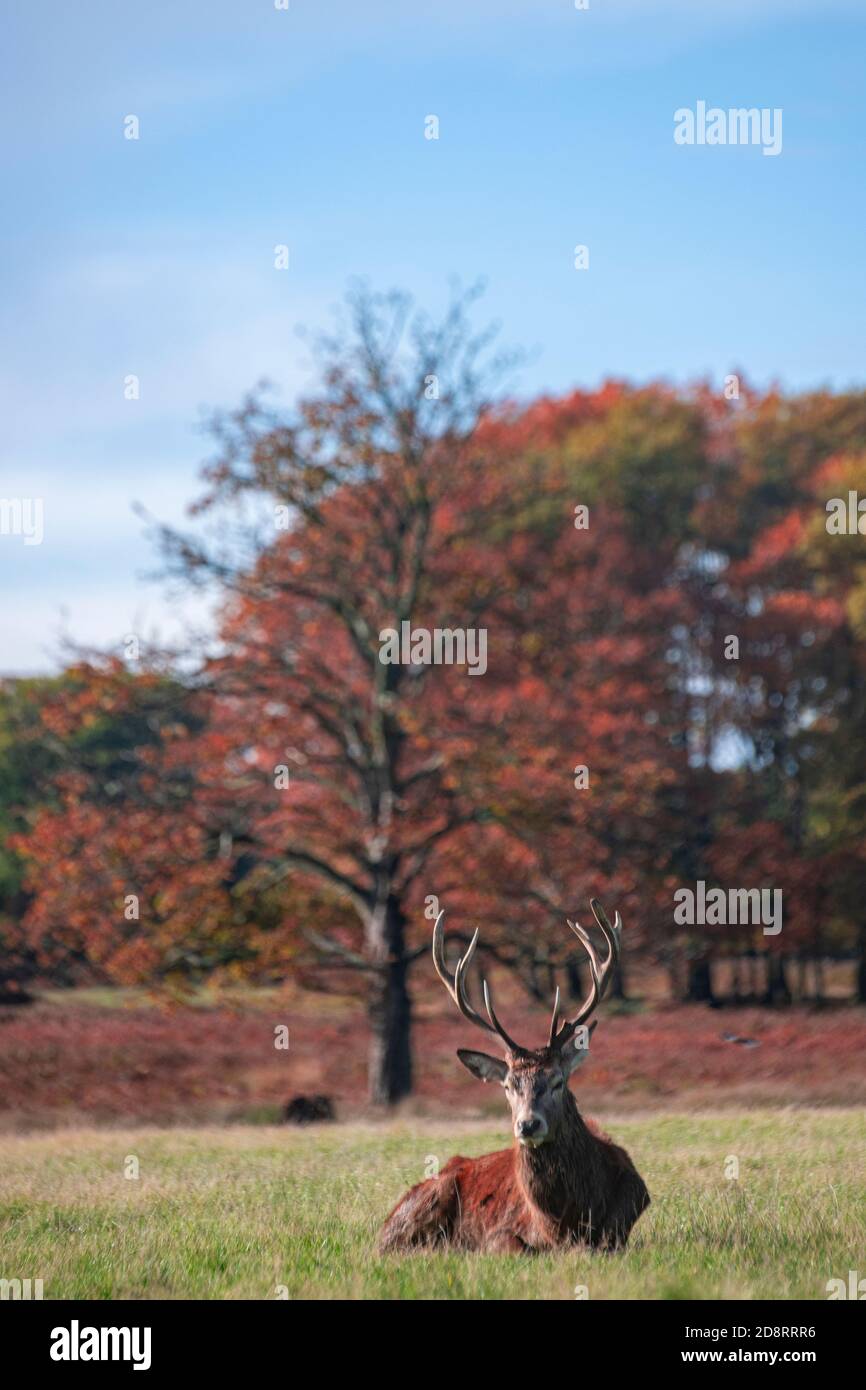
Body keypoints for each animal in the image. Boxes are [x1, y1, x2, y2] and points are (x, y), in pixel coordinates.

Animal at [378, 906, 650, 1256]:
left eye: (558, 1081)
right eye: (507, 1086)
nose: (528, 1124)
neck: (564, 1222)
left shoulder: (624, 1217)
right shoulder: (500, 1232)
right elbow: (513, 1246)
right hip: (422, 1205)